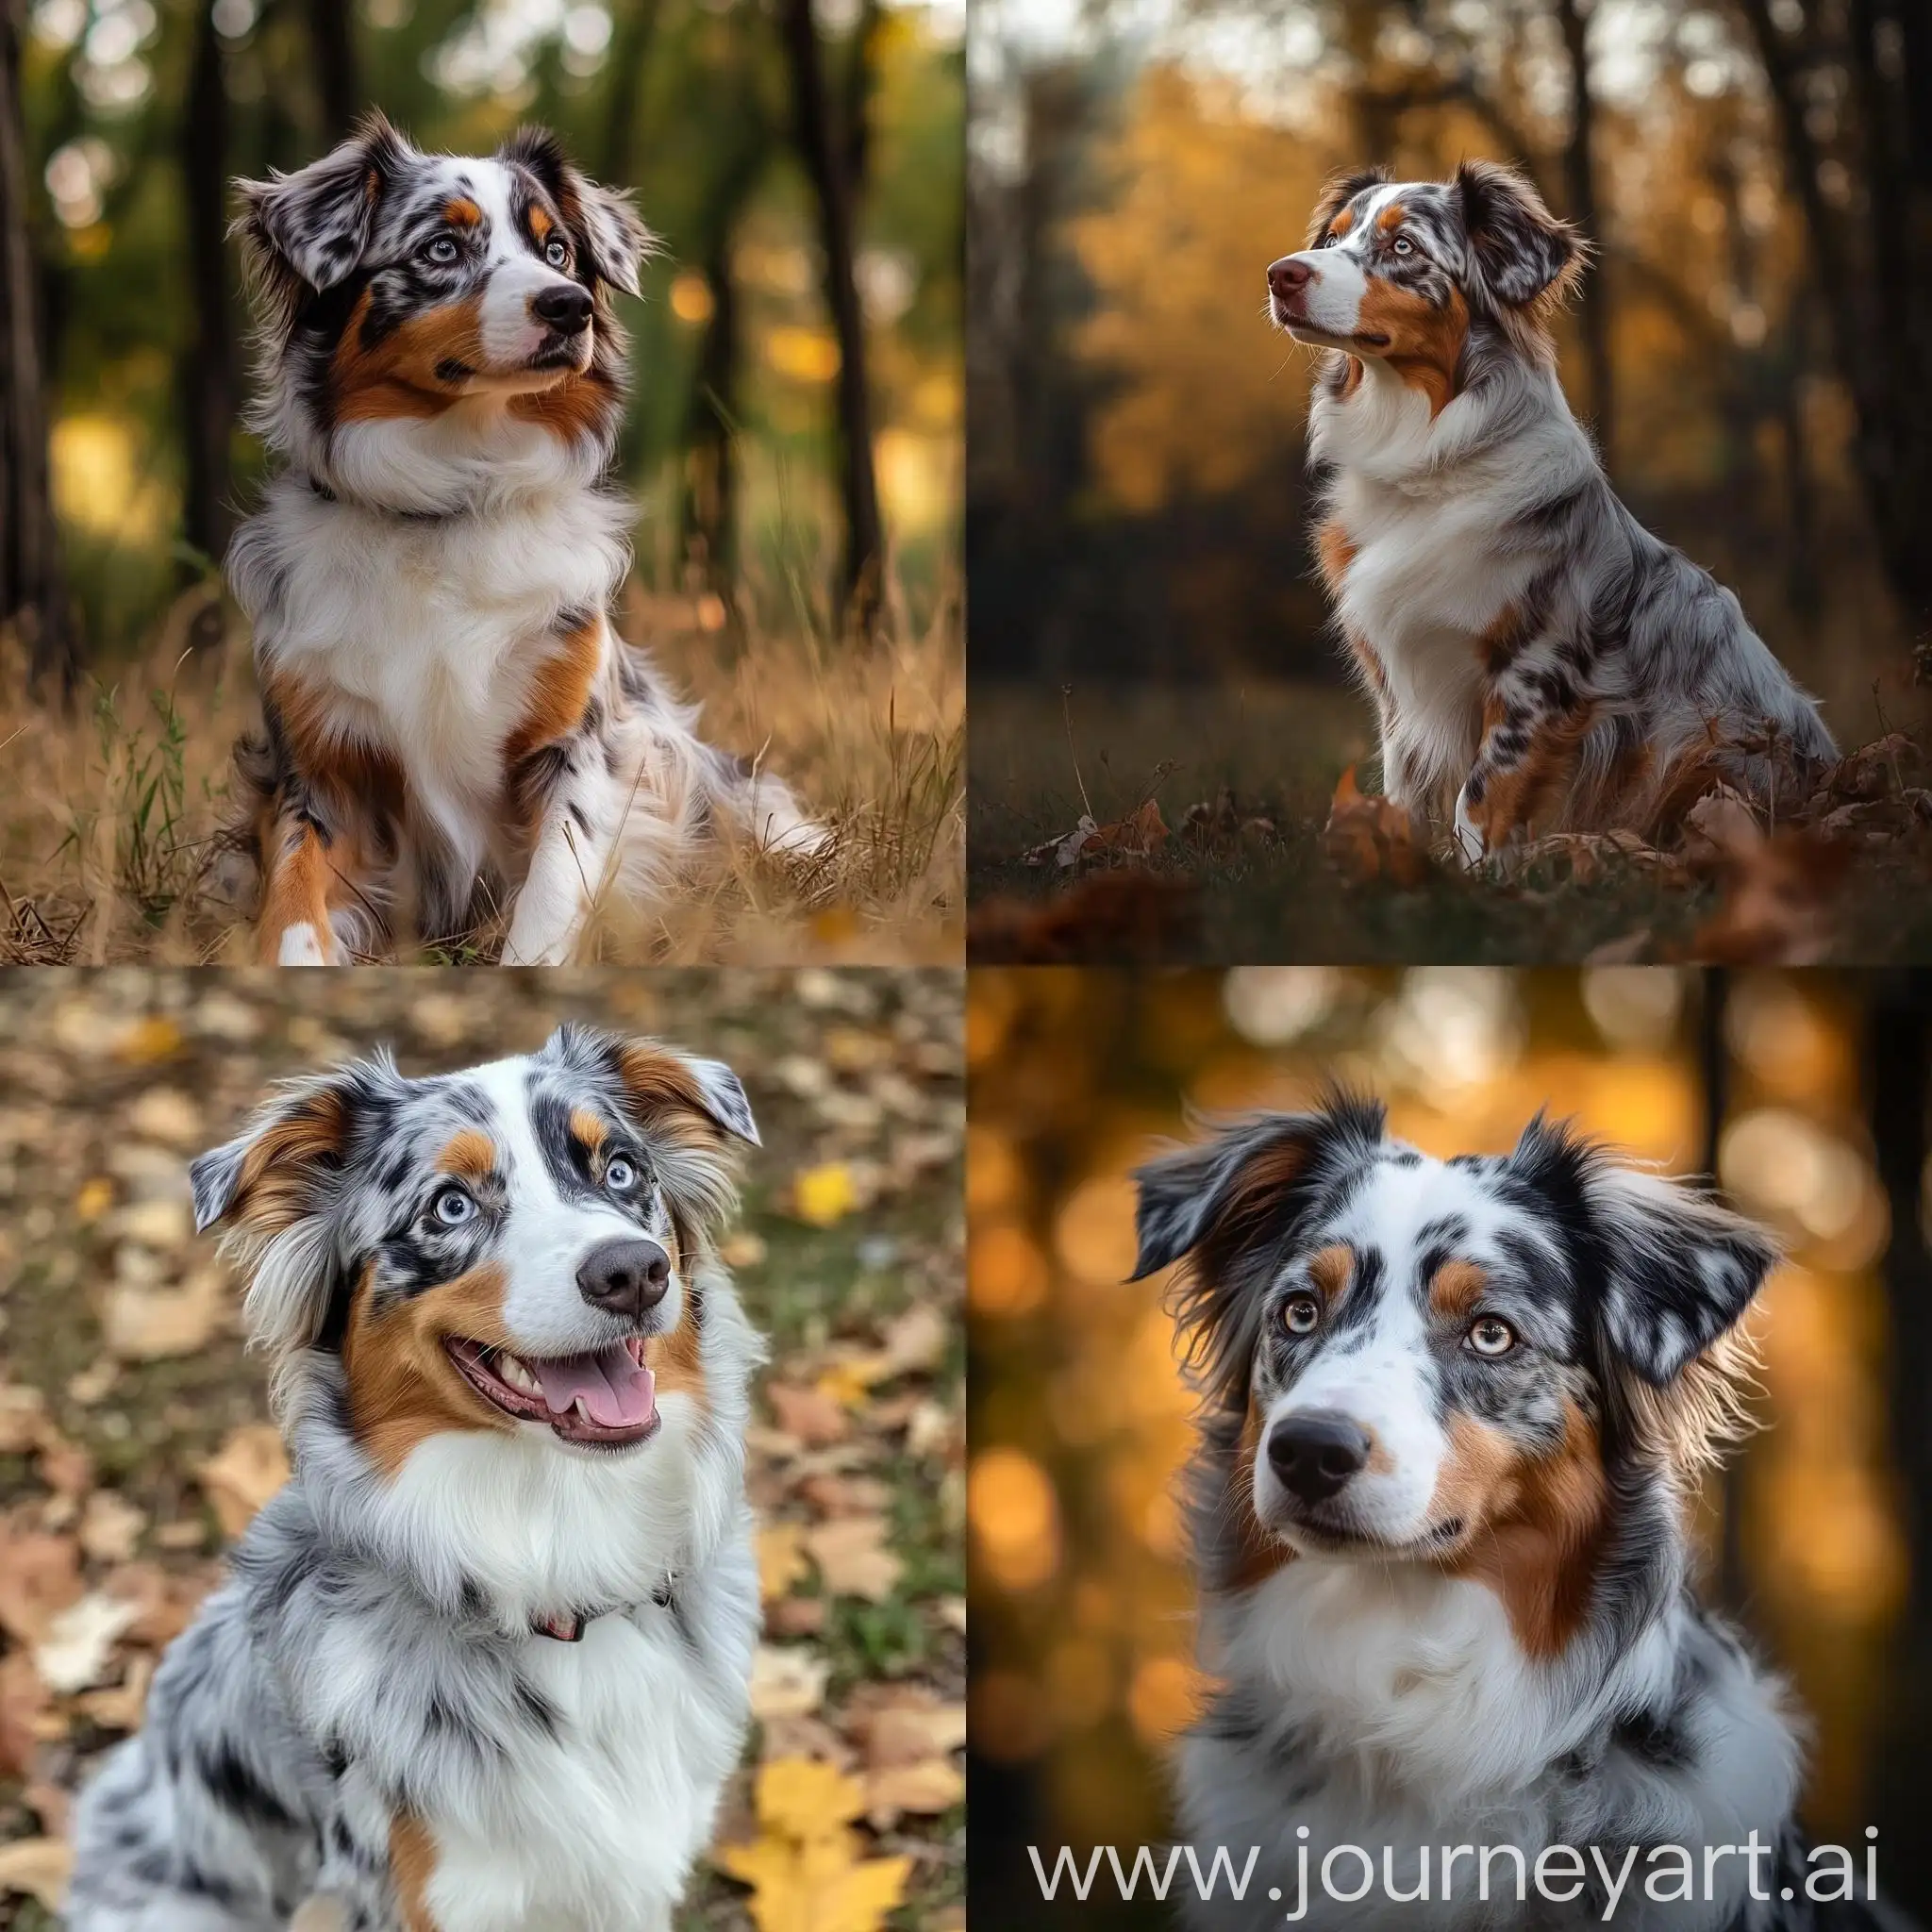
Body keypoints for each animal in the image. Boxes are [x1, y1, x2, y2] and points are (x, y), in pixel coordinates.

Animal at [222, 112, 819, 966]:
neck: (452, 500)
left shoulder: (579, 748)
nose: (568, 307)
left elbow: (552, 889)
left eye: (558, 250)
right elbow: (293, 904)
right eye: (441, 248)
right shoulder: (318, 768)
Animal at [1259, 164, 1831, 861]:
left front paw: (1477, 876)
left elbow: (1479, 796)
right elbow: (1406, 793)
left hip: (1703, 742)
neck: (1430, 465)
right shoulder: (1397, 683)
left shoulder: (1535, 670)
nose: (1281, 274)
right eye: (1333, 237)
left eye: (1404, 247)